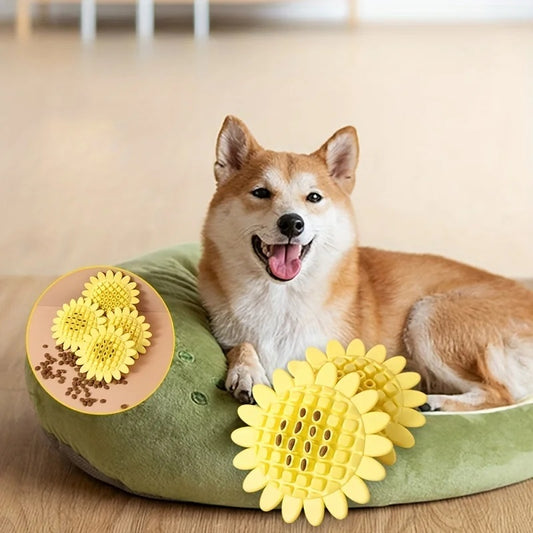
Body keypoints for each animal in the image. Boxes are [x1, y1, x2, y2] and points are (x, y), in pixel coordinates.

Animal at [197, 116, 532, 412]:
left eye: (313, 197)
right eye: (261, 192)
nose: (292, 223)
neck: (282, 300)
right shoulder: (229, 336)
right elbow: (242, 346)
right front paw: (248, 373)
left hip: (429, 316)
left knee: (501, 393)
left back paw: (433, 402)